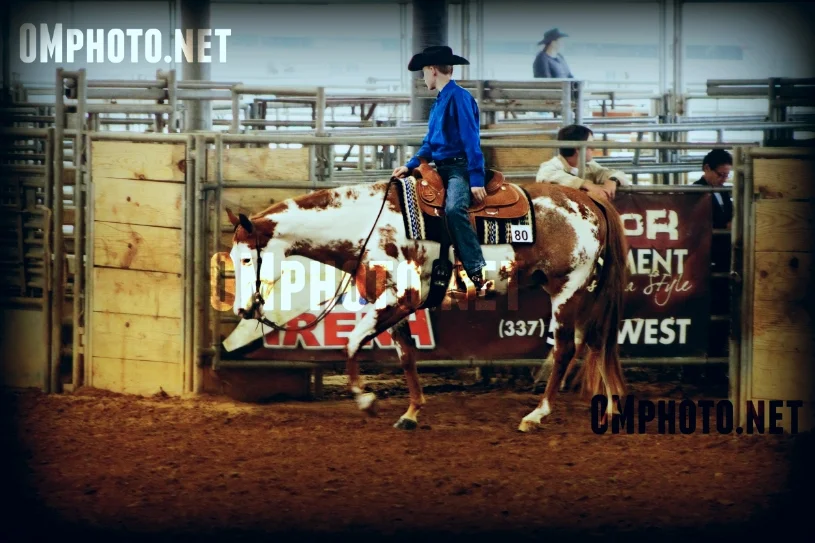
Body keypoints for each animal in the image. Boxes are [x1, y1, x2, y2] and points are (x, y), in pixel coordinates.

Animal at [225, 175, 628, 432]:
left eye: (245, 259)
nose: (242, 311)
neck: (366, 225)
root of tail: (589, 200)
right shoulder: (390, 300)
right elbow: (405, 354)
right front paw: (411, 413)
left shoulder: (401, 296)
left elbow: (352, 342)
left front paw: (366, 401)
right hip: (585, 291)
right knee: (598, 341)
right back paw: (610, 409)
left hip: (567, 288)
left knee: (565, 349)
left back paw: (536, 415)